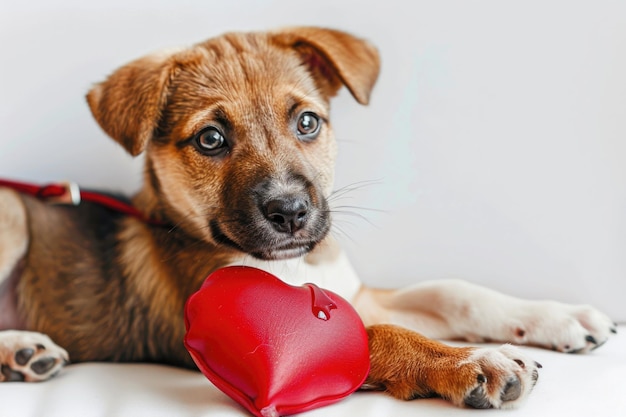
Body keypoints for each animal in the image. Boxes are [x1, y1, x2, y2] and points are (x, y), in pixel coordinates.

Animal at [0, 26, 616, 410]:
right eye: (210, 139)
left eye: (307, 123)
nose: (291, 212)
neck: (295, 268)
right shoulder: (260, 345)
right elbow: (378, 336)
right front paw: (473, 362)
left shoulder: (356, 293)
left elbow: (453, 293)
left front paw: (559, 318)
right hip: (11, 218)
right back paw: (20, 349)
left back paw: (24, 356)